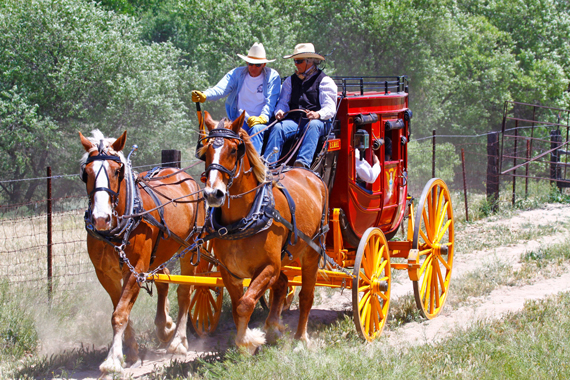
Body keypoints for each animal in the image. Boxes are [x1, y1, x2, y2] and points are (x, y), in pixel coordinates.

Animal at [79, 131, 203, 374]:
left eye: (116, 171)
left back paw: (178, 341)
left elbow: (119, 313)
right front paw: (132, 352)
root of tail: (184, 175)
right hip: (162, 252)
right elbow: (119, 310)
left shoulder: (135, 269)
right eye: (85, 173)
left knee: (185, 291)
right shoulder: (105, 274)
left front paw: (112, 360)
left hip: (190, 246)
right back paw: (164, 327)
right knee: (164, 282)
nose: (100, 218)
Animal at [199, 112, 326, 354]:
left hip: (312, 251)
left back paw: (300, 338)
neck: (242, 220)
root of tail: (309, 173)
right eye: (205, 152)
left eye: (233, 150)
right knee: (283, 283)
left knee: (306, 295)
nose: (213, 194)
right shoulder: (230, 272)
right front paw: (248, 342)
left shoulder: (268, 267)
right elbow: (237, 307)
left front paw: (250, 339)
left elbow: (245, 304)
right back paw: (274, 326)